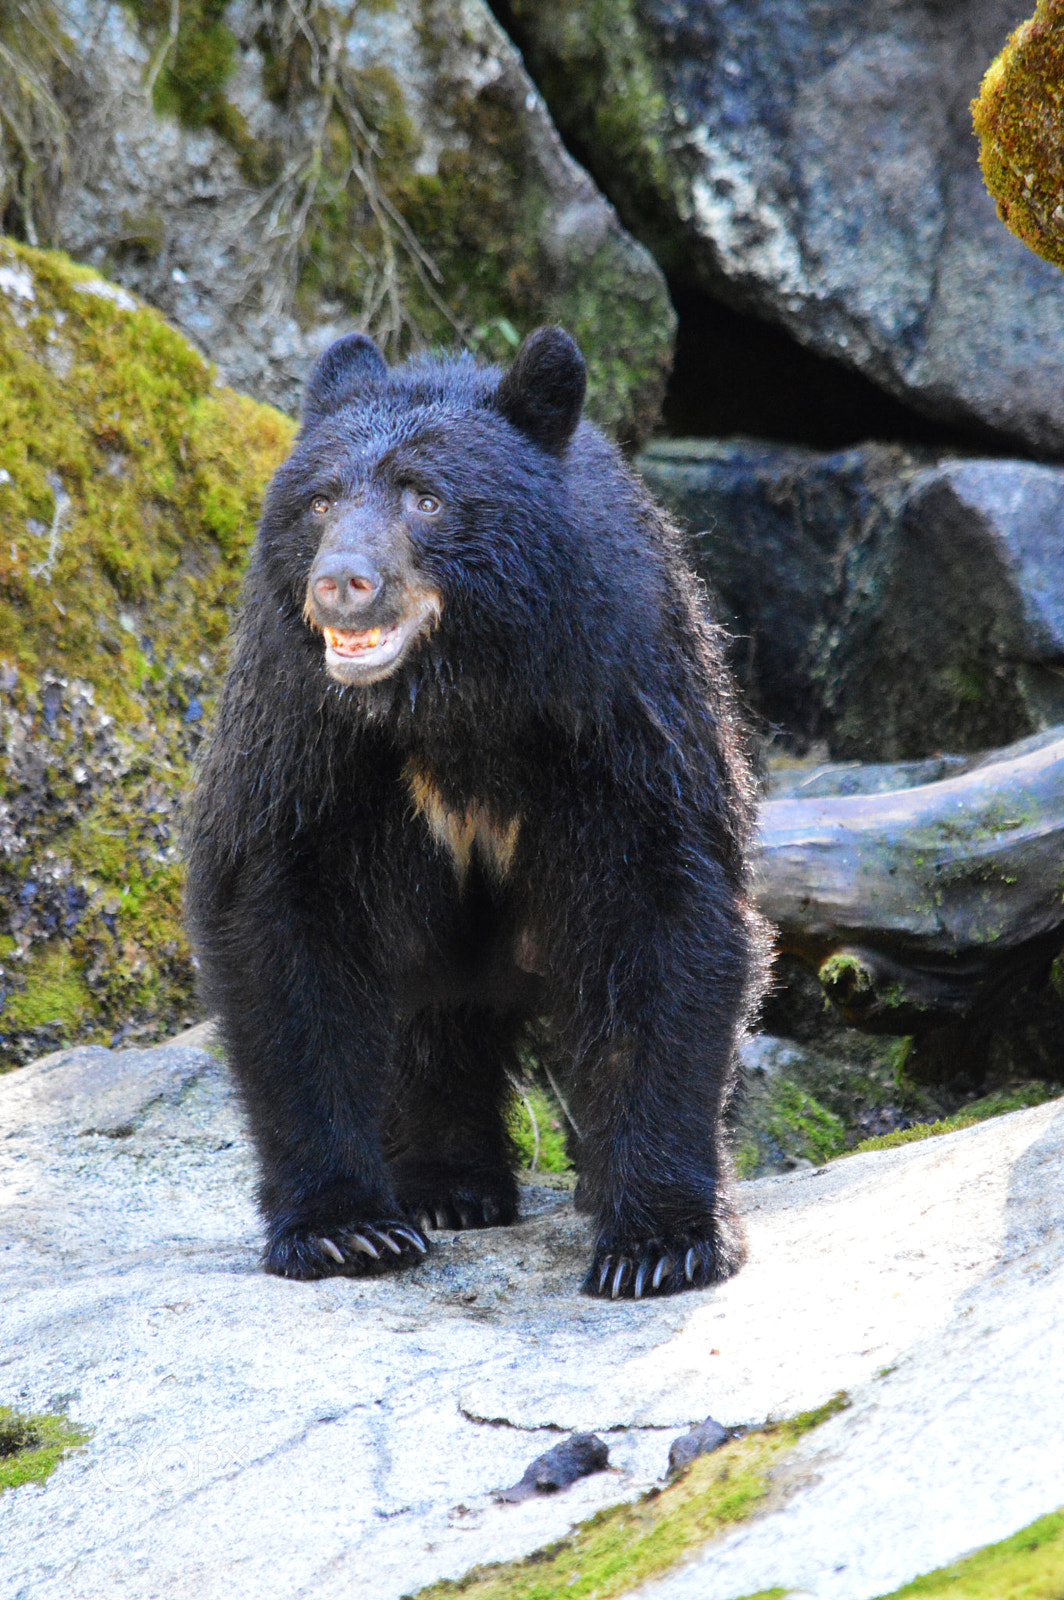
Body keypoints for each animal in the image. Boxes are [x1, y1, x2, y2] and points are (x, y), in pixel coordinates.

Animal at [184, 326, 772, 1298]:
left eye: (426, 497)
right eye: (319, 500)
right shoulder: (301, 727)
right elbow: (281, 925)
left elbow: (662, 911)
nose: (343, 583)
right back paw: (446, 1184)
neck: (457, 701)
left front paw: (660, 1243)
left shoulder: (620, 700)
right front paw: (344, 1229)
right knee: (431, 1014)